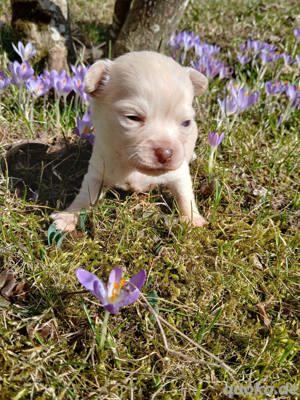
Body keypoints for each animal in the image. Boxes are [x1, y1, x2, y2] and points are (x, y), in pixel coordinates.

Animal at [51, 50, 209, 231]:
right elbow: (85, 196)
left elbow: (184, 193)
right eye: (132, 118)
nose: (166, 153)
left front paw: (193, 218)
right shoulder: (97, 172)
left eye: (186, 123)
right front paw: (68, 216)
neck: (133, 167)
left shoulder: (179, 173)